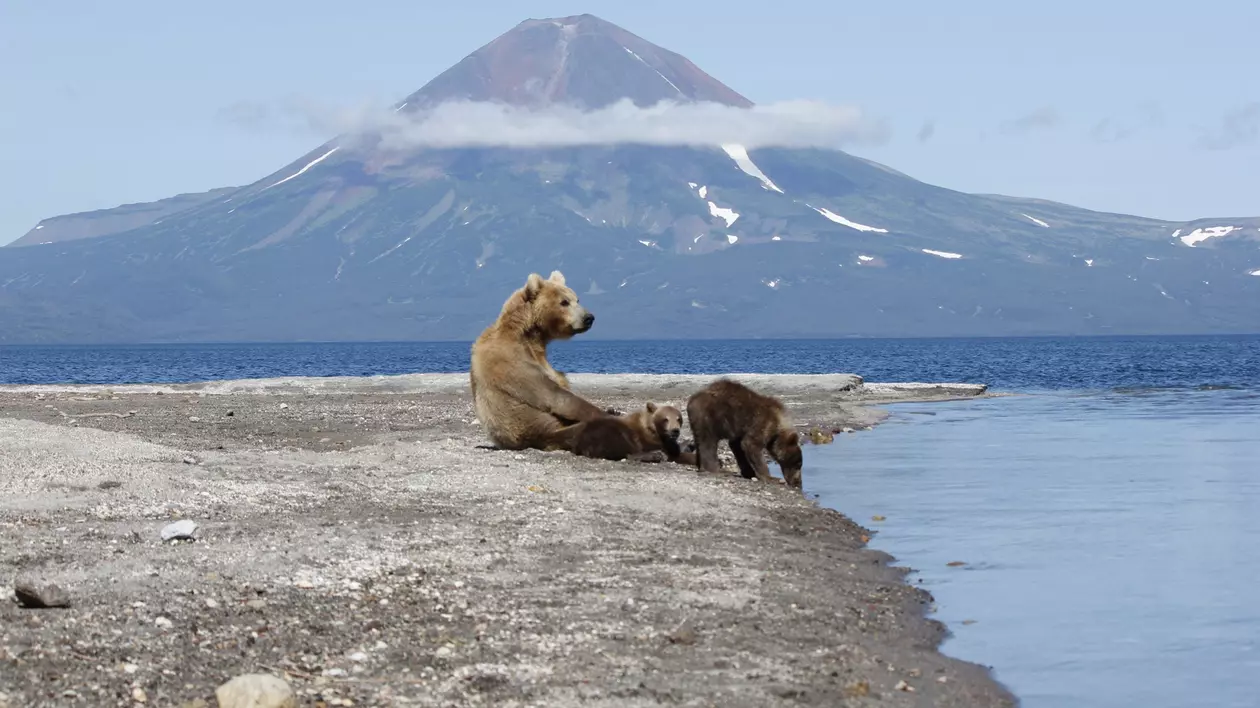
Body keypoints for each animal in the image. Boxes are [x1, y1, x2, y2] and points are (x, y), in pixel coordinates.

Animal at [473, 268, 609, 445]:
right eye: (564, 302)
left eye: (577, 299)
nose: (589, 318)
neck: (531, 337)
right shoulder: (514, 362)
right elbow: (555, 396)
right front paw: (608, 412)